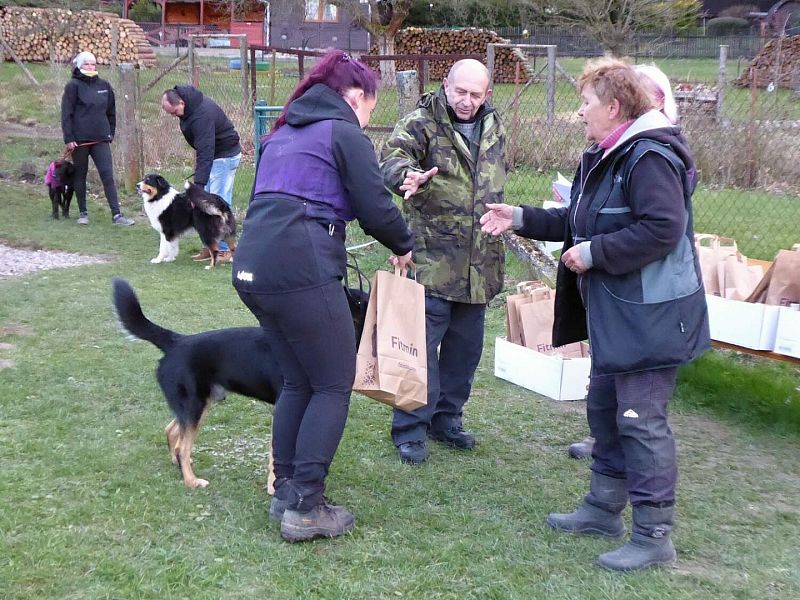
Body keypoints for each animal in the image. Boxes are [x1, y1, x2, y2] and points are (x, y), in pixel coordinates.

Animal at [111, 278, 368, 490]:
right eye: (361, 300)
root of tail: (176, 341)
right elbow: (279, 451)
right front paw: (275, 486)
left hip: (199, 403)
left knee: (172, 430)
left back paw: (180, 465)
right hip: (195, 404)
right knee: (183, 444)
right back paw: (191, 481)